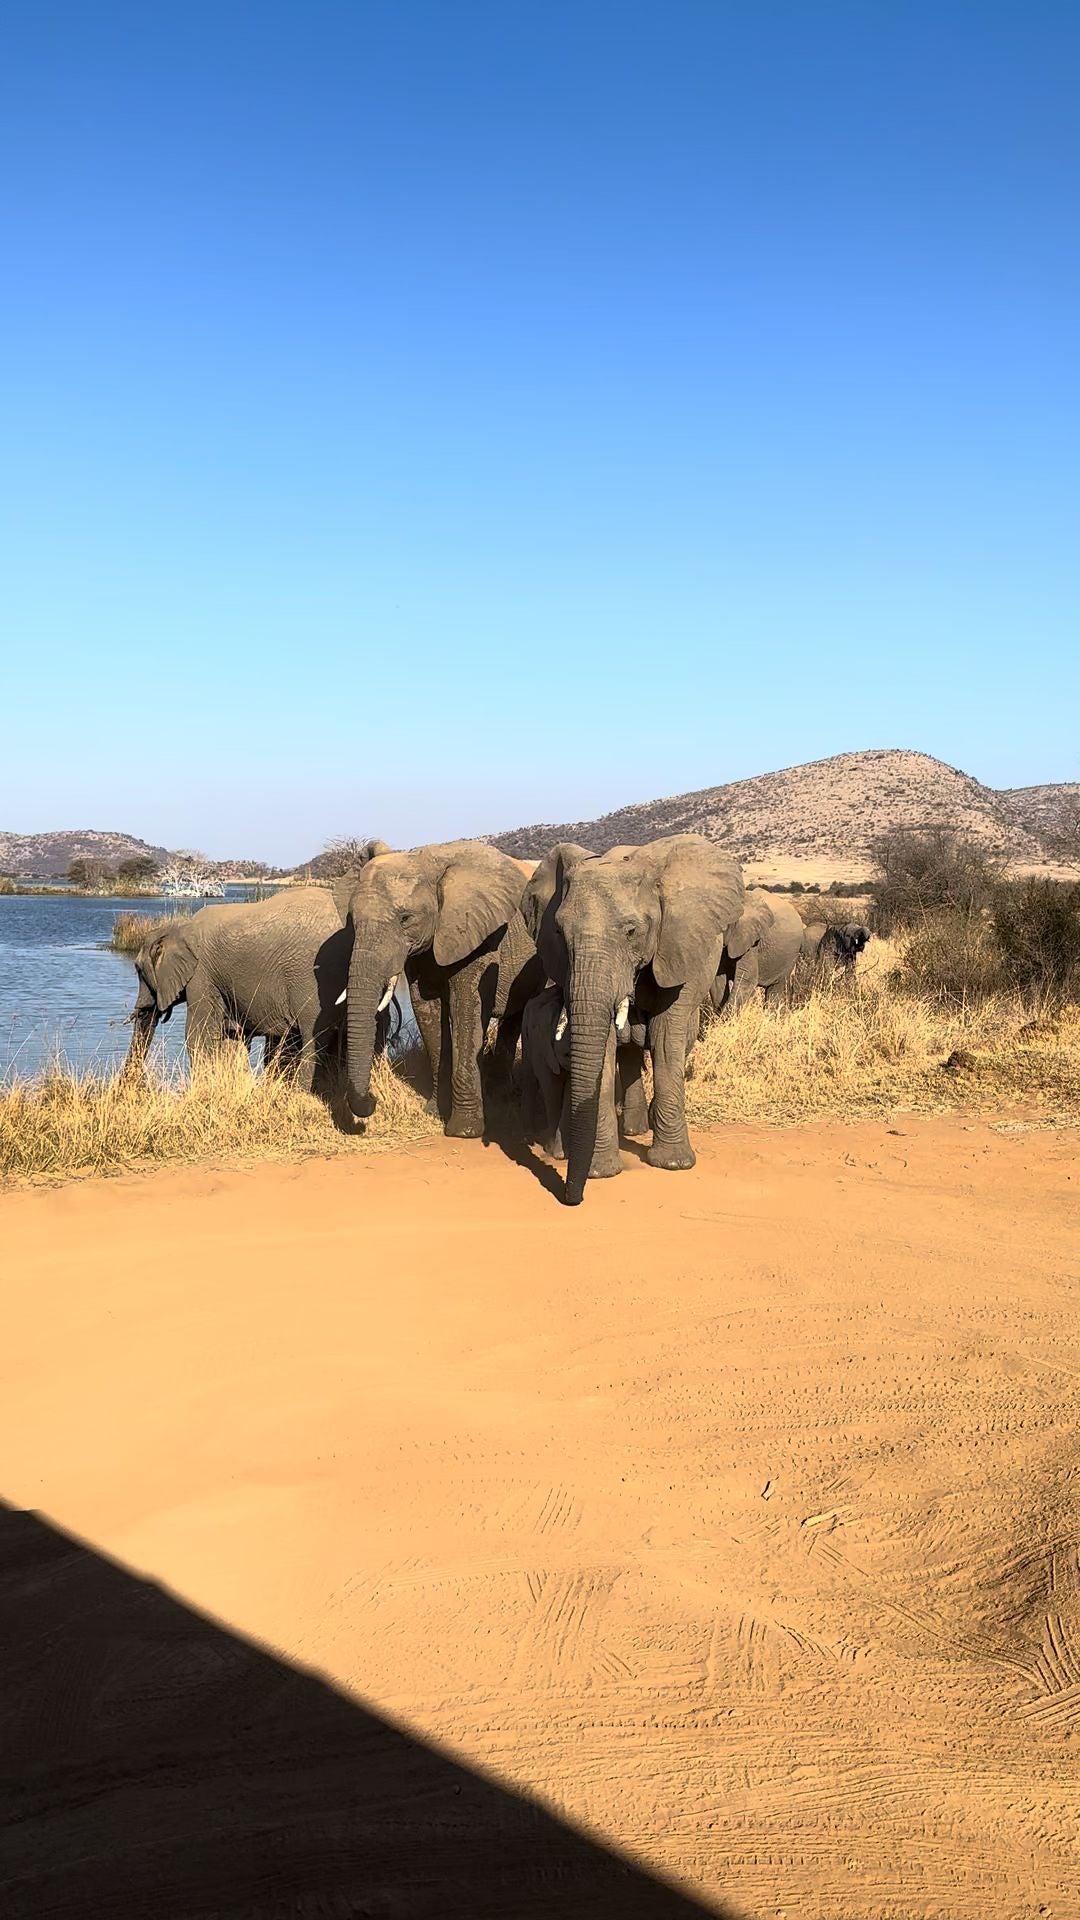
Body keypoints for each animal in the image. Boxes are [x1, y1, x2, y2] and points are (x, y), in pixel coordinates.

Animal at [342, 844, 538, 1136]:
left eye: (405, 919)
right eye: (352, 920)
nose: (373, 1101)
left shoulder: (479, 935)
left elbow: (466, 1009)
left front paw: (464, 1131)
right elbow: (428, 1012)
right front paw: (435, 1112)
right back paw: (503, 1097)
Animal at [518, 837, 737, 1198]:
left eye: (632, 931)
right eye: (560, 932)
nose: (572, 1198)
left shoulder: (676, 947)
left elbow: (666, 1037)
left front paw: (674, 1164)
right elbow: (604, 1046)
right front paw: (601, 1172)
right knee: (630, 1050)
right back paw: (634, 1129)